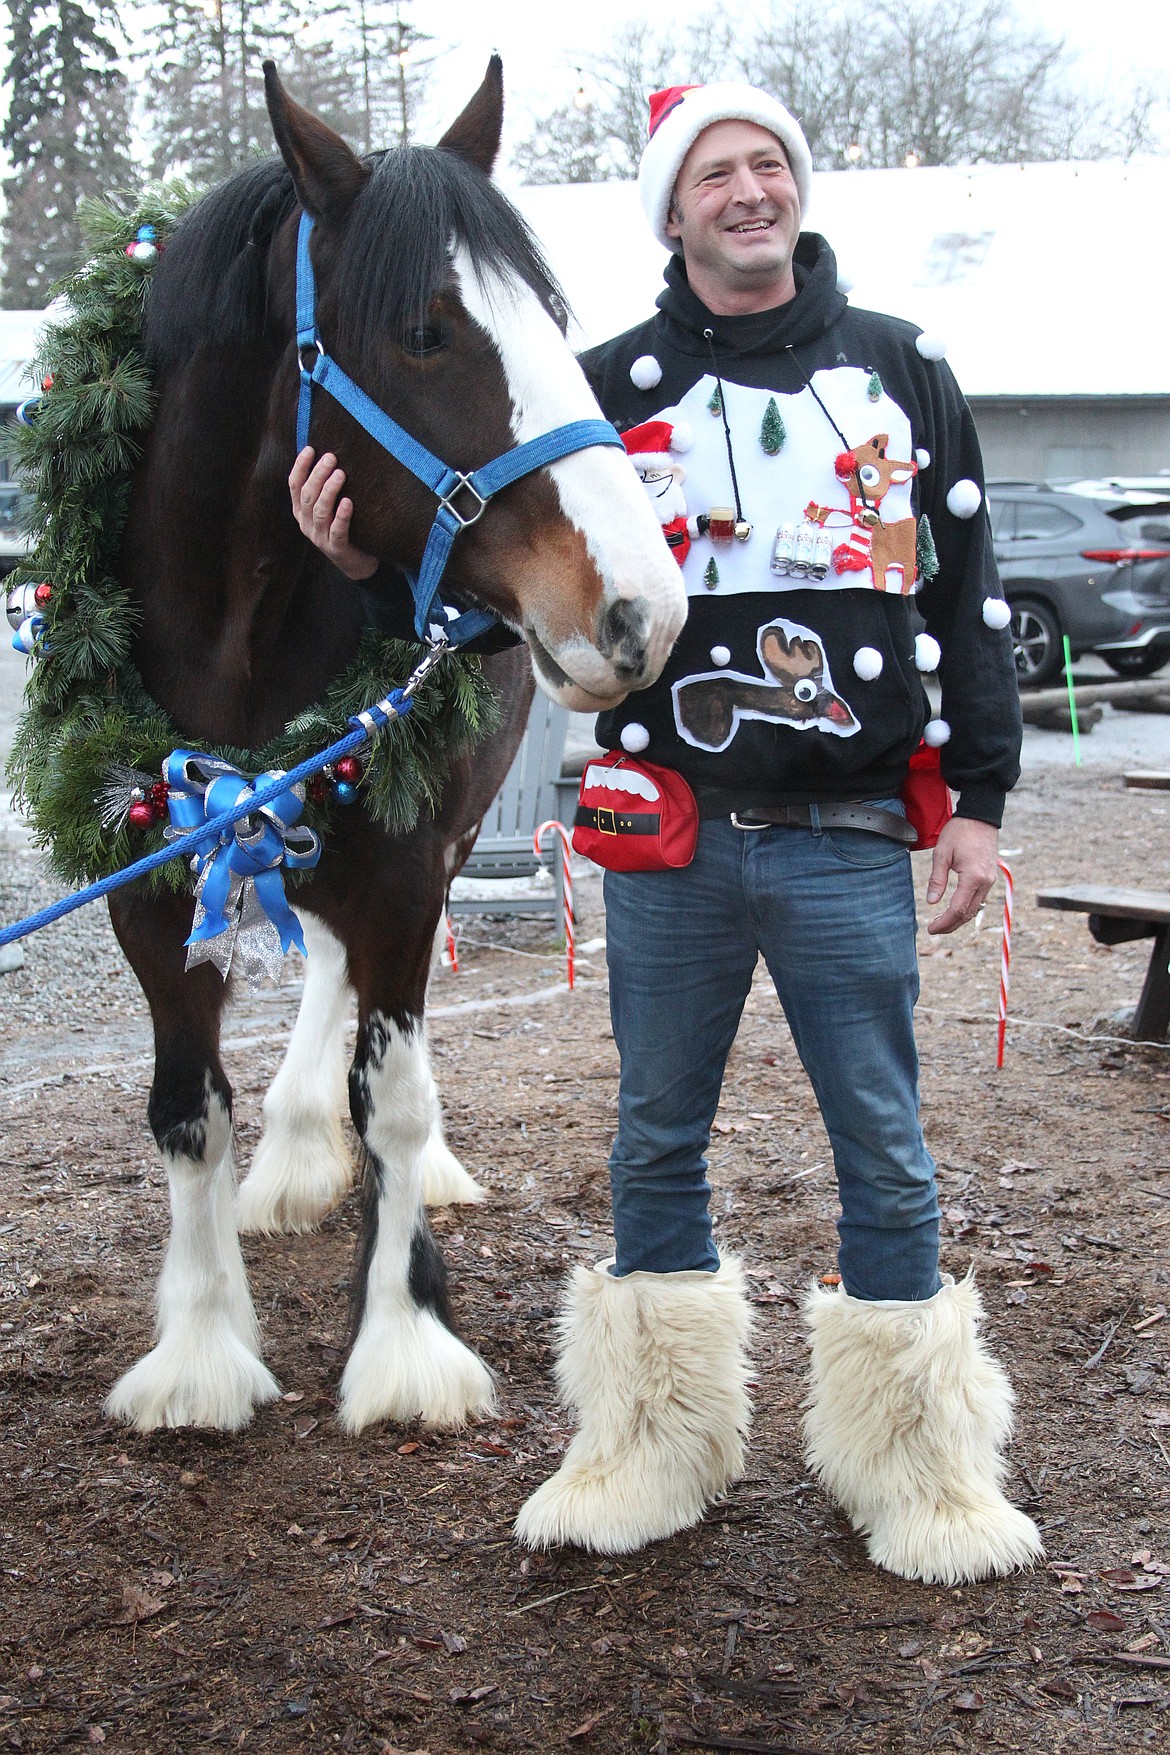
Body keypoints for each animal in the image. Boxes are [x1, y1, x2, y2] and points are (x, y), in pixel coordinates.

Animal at [103, 61, 687, 1439]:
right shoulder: (153, 876)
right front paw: (201, 1347)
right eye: (428, 331)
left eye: (555, 315)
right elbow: (185, 1114)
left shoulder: (413, 875)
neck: (237, 634)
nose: (643, 608)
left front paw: (405, 1336)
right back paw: (291, 1155)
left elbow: (401, 1103)